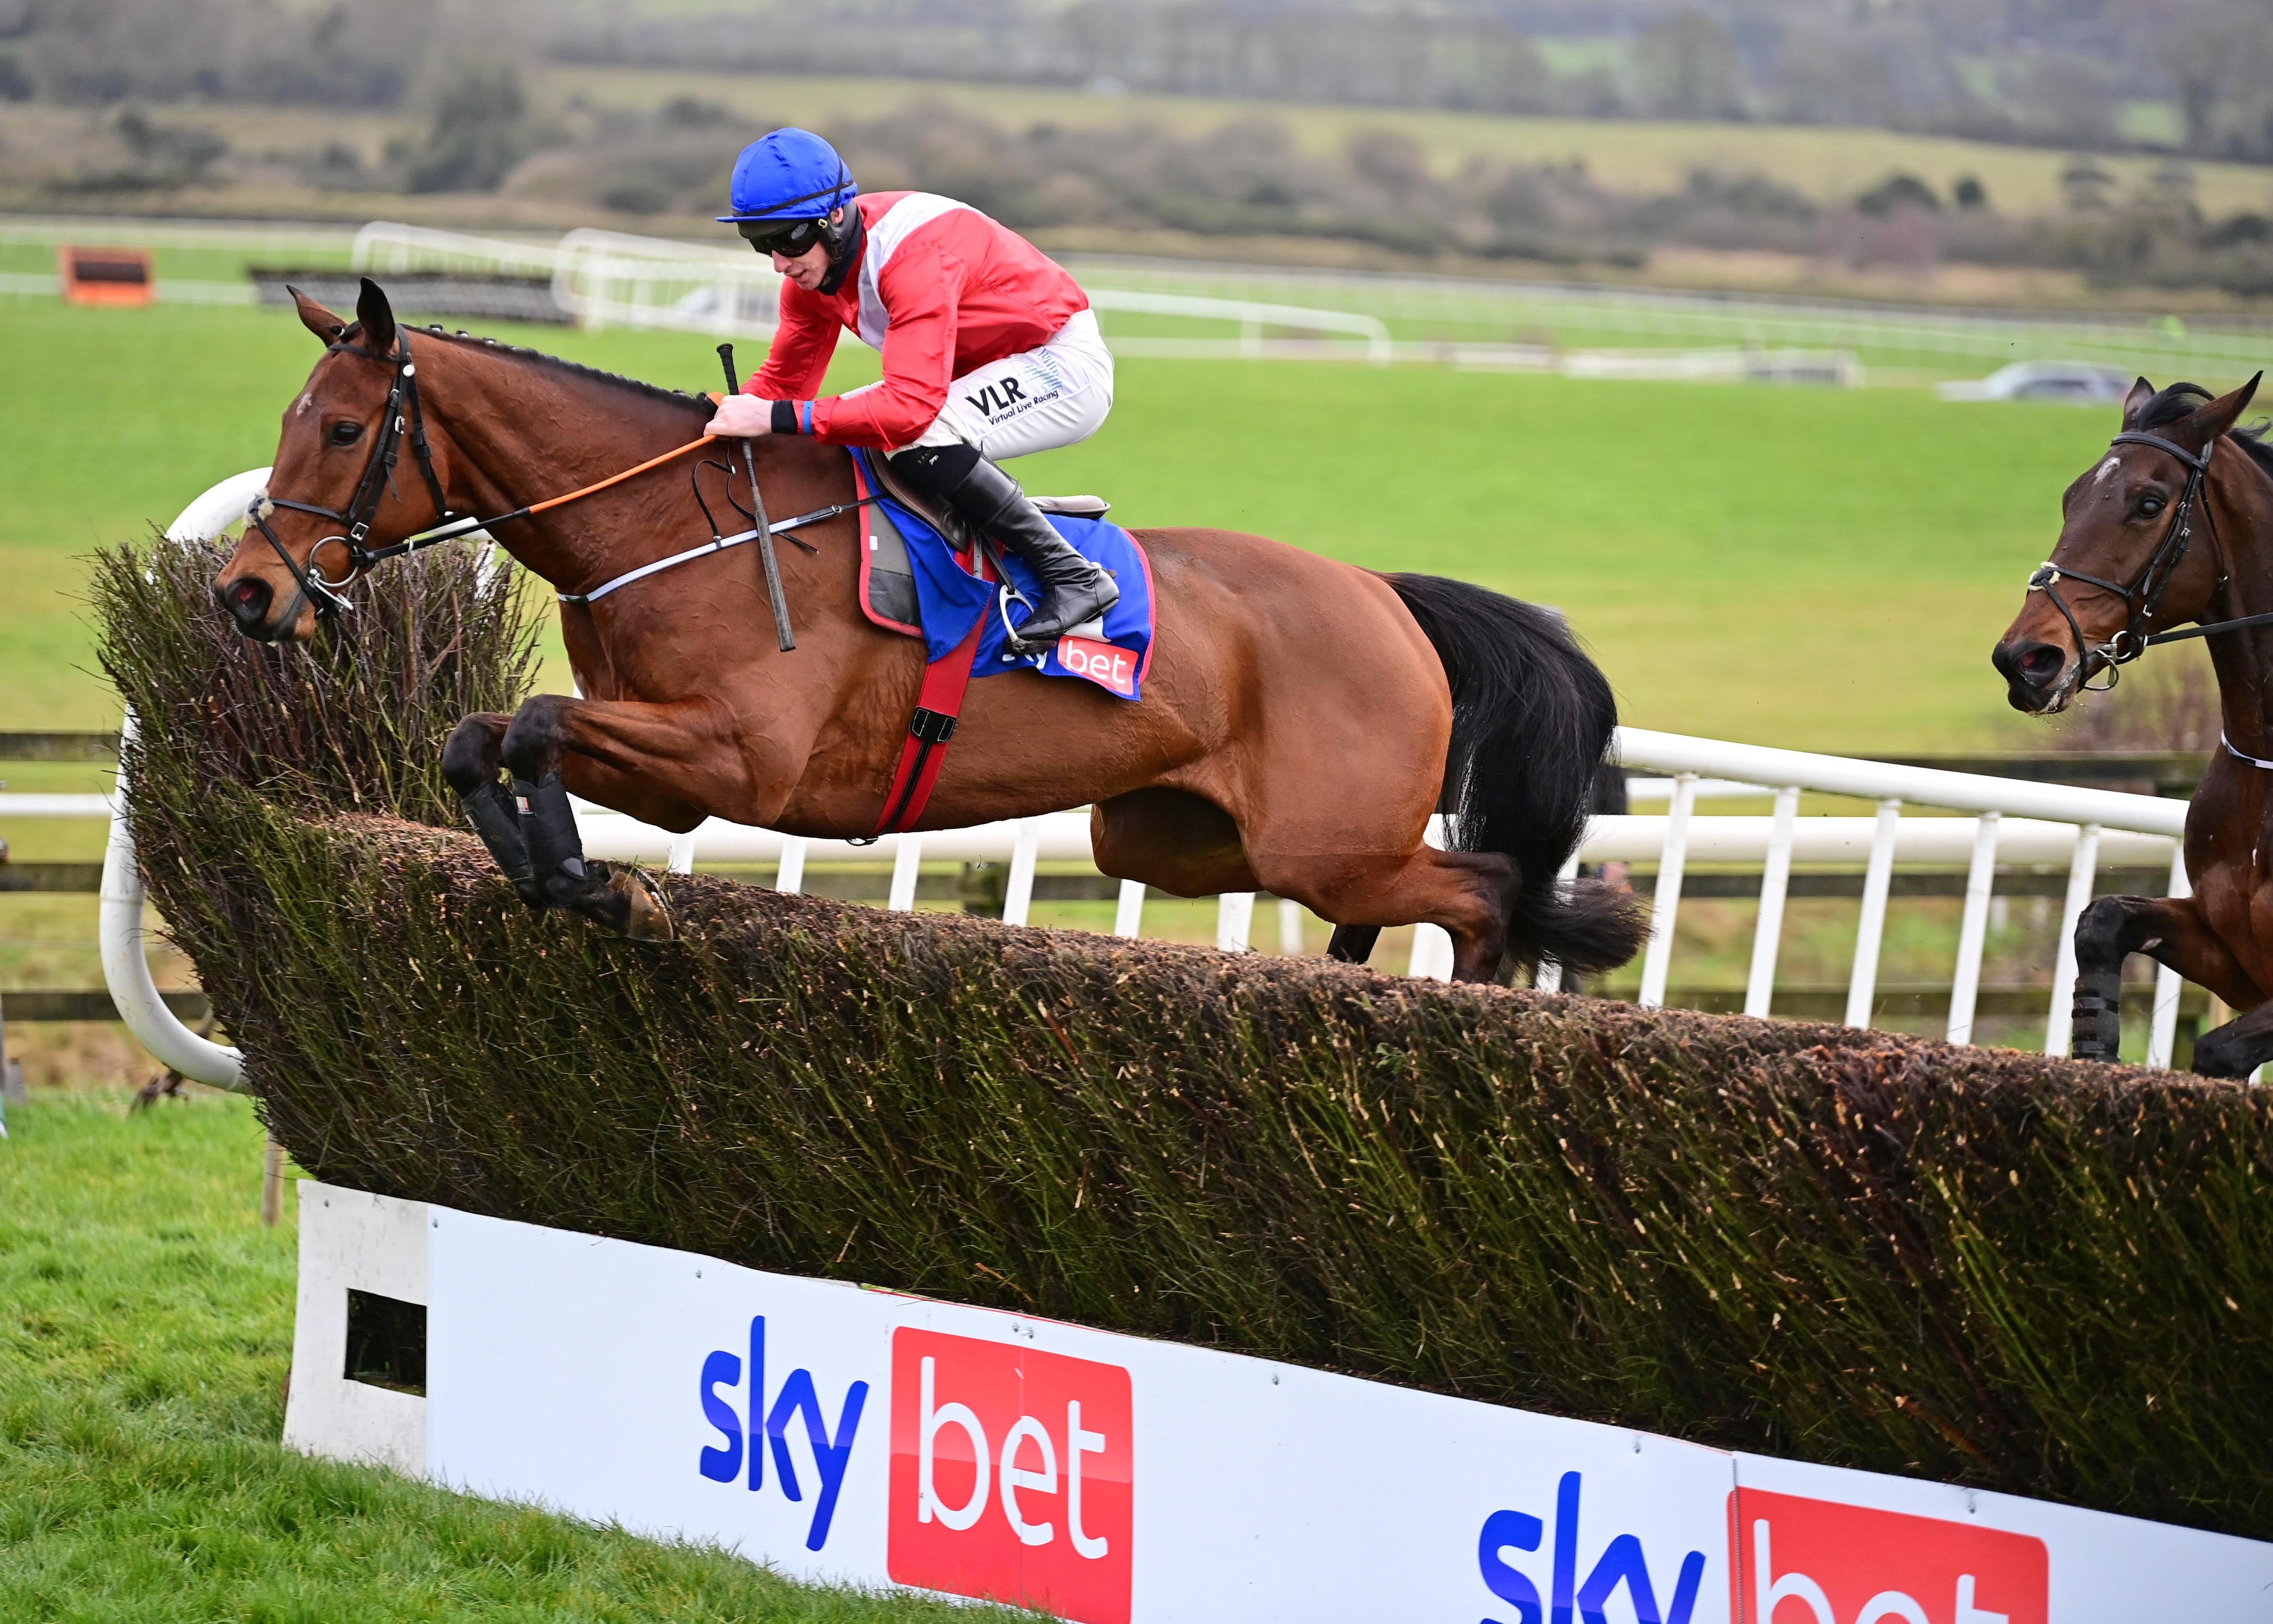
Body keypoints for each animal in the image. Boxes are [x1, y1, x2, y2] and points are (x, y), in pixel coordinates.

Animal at [213, 280, 1637, 982]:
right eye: (287, 419)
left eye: (342, 427)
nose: (247, 593)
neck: (675, 526)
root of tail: (1384, 593)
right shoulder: (668, 755)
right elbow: (482, 736)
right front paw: (563, 875)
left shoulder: (740, 760)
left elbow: (540, 727)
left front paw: (593, 884)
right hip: (1179, 836)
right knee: (1399, 903)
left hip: (1323, 839)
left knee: (1485, 893)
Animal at [1991, 373, 2273, 1069]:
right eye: (2072, 497)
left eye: (2150, 503)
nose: (2025, 660)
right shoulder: (2238, 961)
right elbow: (2102, 920)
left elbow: (2219, 1051)